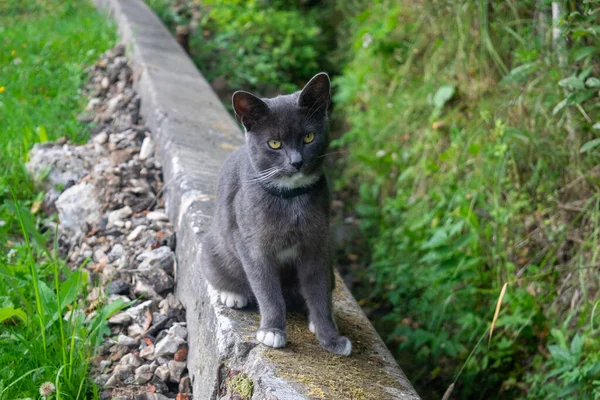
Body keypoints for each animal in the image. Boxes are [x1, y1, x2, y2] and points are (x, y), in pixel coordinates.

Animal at [202, 73, 352, 354]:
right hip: (211, 249)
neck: (291, 201)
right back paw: (233, 295)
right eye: (274, 143)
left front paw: (331, 337)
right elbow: (268, 292)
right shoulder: (253, 247)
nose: (297, 162)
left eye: (309, 137)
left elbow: (318, 292)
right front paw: (271, 331)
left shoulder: (317, 246)